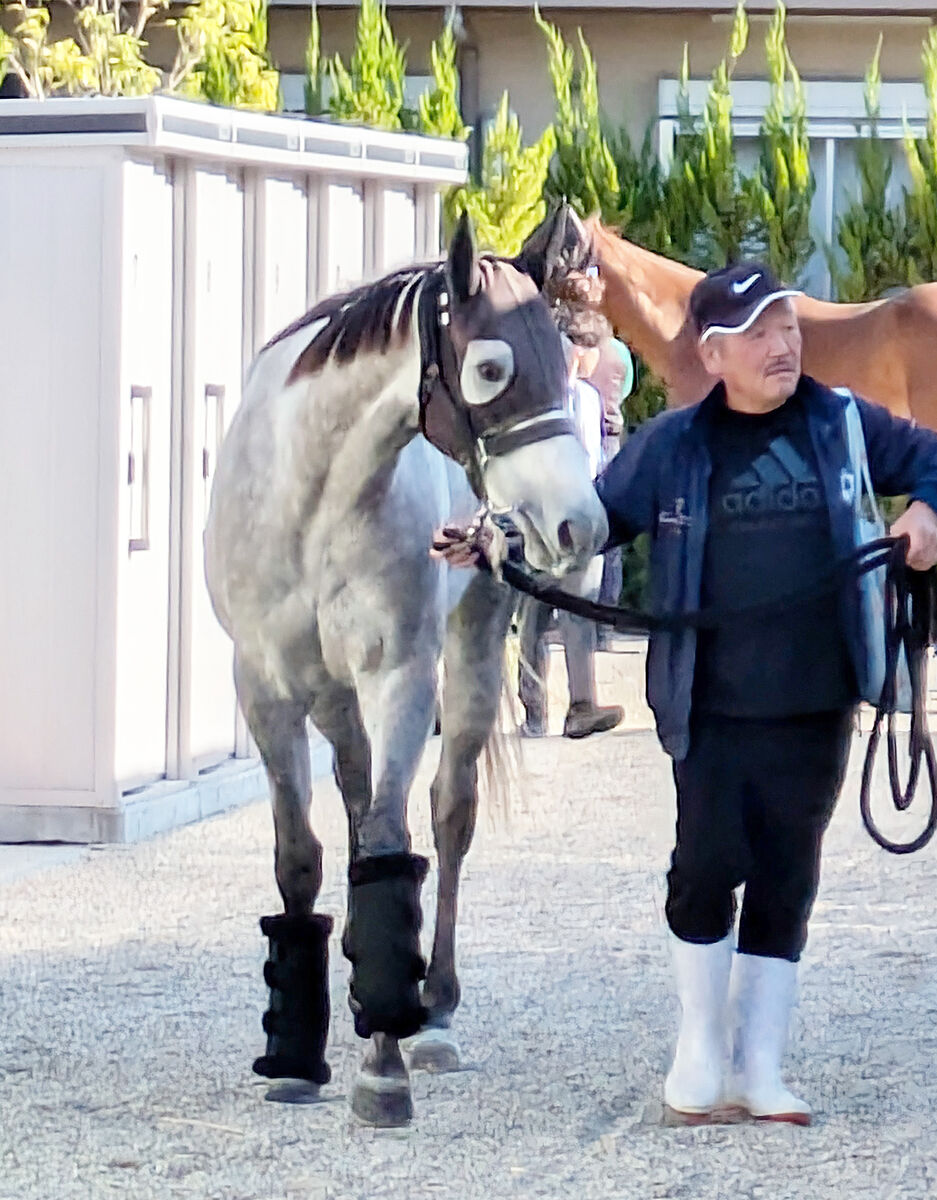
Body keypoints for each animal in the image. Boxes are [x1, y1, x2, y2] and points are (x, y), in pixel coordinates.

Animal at [202, 204, 607, 1123]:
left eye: (563, 359)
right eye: (491, 367)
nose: (581, 526)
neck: (310, 499)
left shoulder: (399, 675)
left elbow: (390, 842)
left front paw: (383, 1065)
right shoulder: (266, 688)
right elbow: (302, 855)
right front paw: (293, 1055)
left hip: (469, 646)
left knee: (447, 812)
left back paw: (434, 1013)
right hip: (330, 694)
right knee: (354, 797)